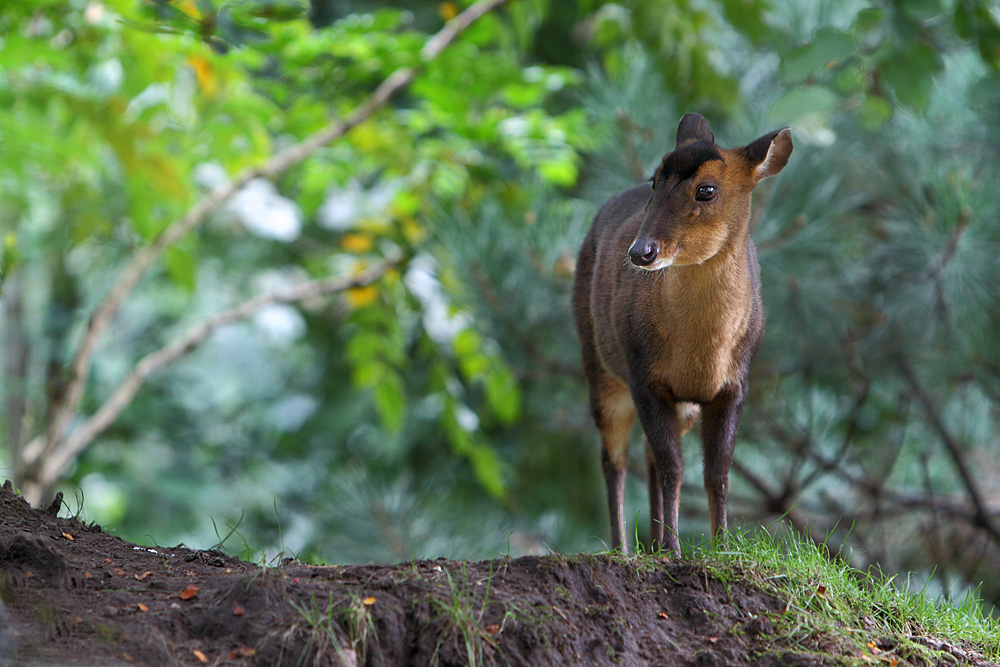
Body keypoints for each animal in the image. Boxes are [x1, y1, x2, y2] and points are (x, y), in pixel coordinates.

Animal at [576, 113, 792, 552]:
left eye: (706, 190)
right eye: (655, 181)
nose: (640, 252)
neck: (701, 349)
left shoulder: (735, 384)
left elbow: (718, 471)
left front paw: (721, 545)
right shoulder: (643, 375)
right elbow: (673, 466)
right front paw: (676, 550)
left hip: (683, 405)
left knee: (645, 456)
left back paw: (655, 542)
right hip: (600, 368)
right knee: (615, 459)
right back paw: (625, 548)